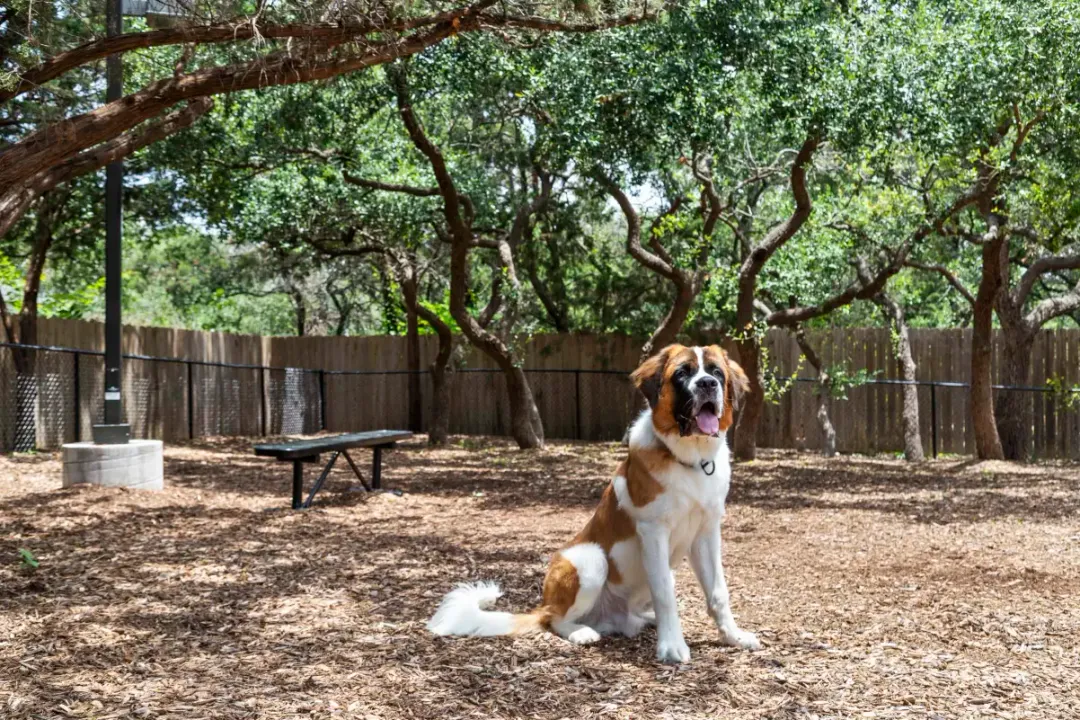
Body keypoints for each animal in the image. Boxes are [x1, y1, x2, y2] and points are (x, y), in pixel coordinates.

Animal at [425, 343, 756, 664]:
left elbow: (718, 591)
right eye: (682, 374)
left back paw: (643, 620)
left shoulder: (707, 533)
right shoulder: (653, 532)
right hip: (590, 559)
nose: (707, 383)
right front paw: (672, 646)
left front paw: (733, 637)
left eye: (717, 372)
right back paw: (581, 632)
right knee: (553, 619)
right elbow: (665, 594)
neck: (690, 460)